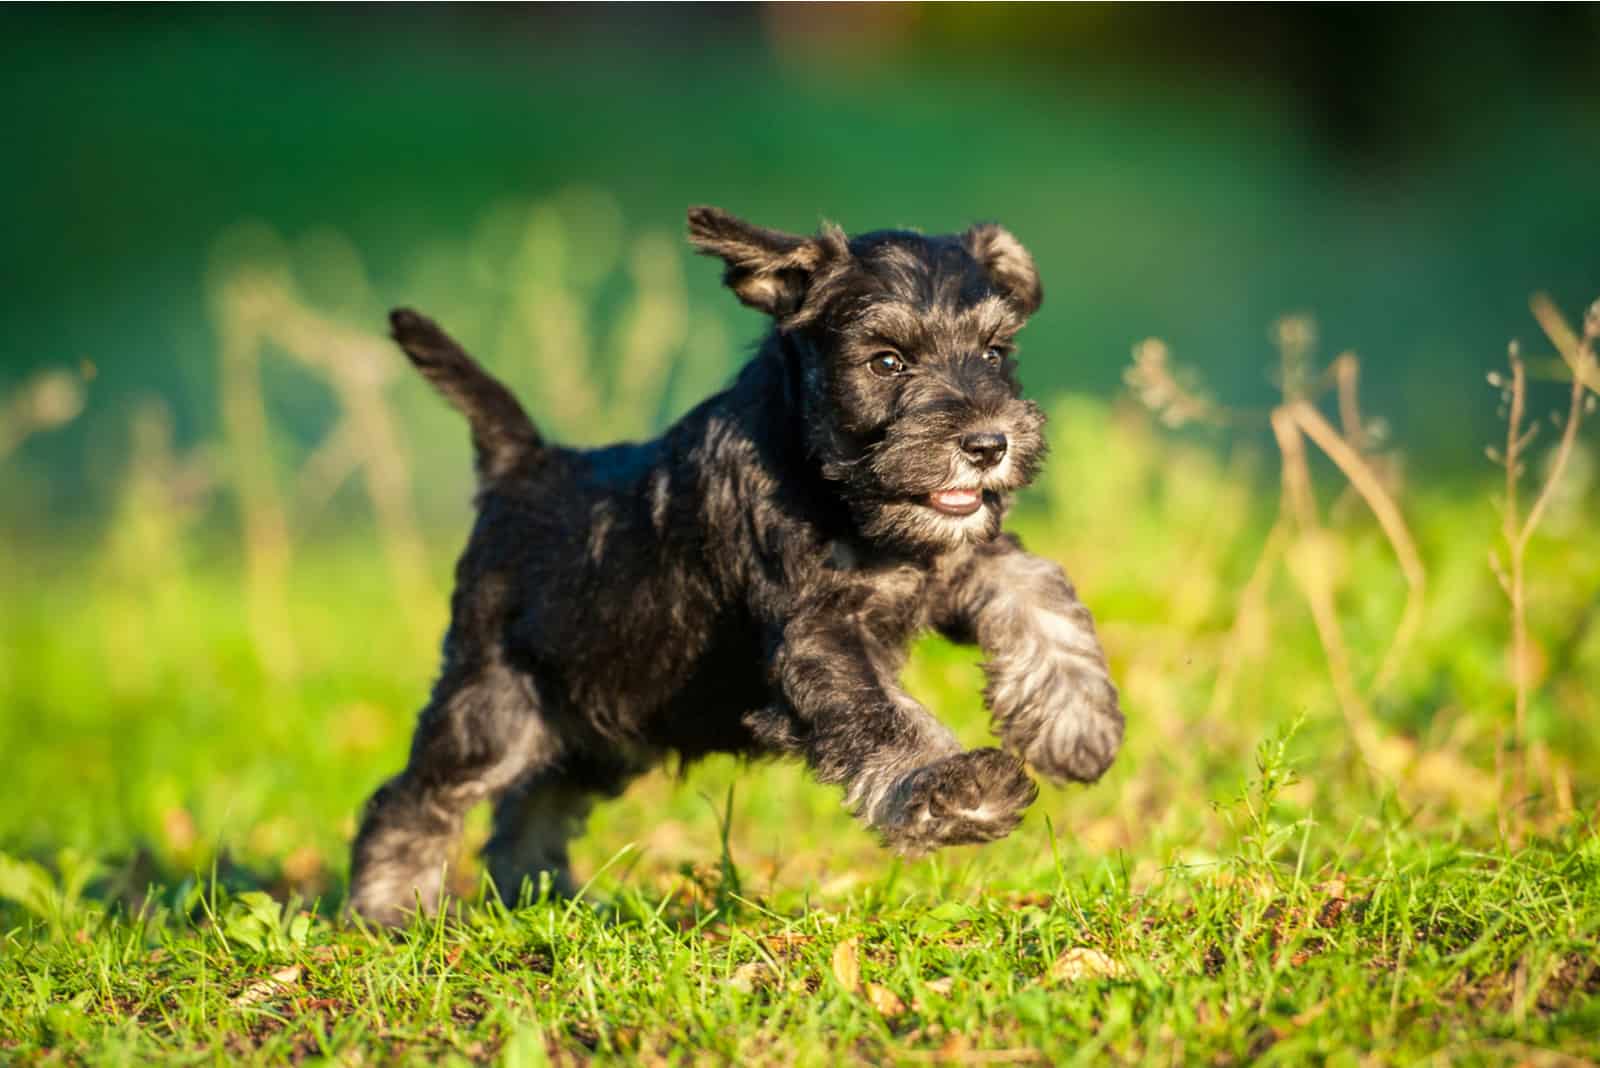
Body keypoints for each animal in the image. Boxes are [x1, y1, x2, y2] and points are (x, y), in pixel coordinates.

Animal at [350, 207, 1126, 927]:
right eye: (886, 361)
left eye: (995, 352)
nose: (989, 444)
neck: (833, 487)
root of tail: (523, 465)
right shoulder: (818, 636)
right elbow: (884, 717)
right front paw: (960, 790)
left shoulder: (960, 561)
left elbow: (1041, 589)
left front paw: (1076, 723)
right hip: (496, 705)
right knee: (413, 799)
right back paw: (390, 910)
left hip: (607, 718)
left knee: (532, 800)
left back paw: (543, 897)